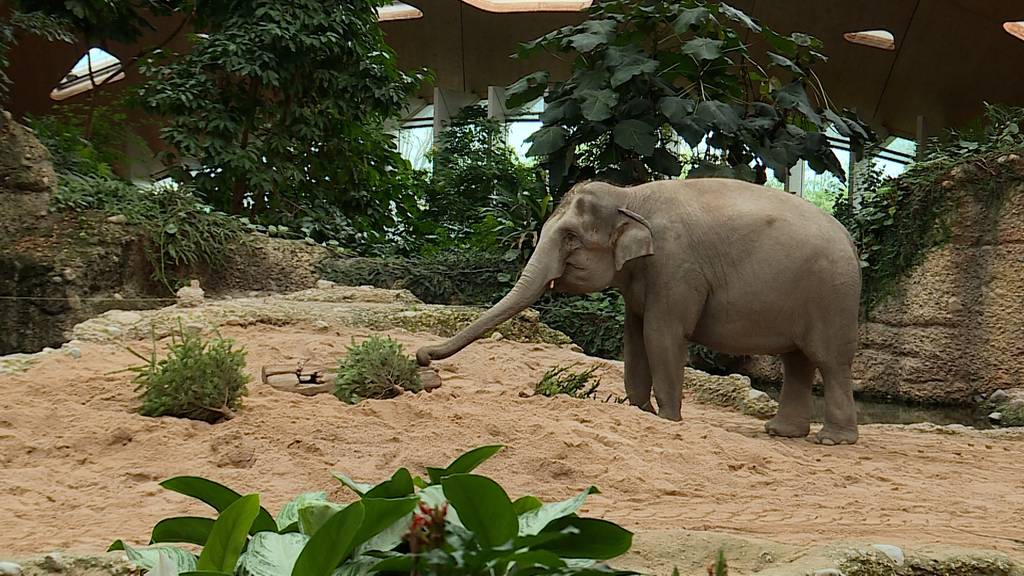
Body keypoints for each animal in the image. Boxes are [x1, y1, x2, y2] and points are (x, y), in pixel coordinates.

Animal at [417, 178, 864, 444]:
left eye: (571, 238)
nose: (422, 358)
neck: (629, 194)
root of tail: (849, 238)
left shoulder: (676, 266)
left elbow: (661, 334)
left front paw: (667, 420)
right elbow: (633, 336)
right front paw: (640, 411)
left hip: (832, 296)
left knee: (830, 360)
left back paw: (833, 440)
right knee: (798, 360)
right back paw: (781, 433)